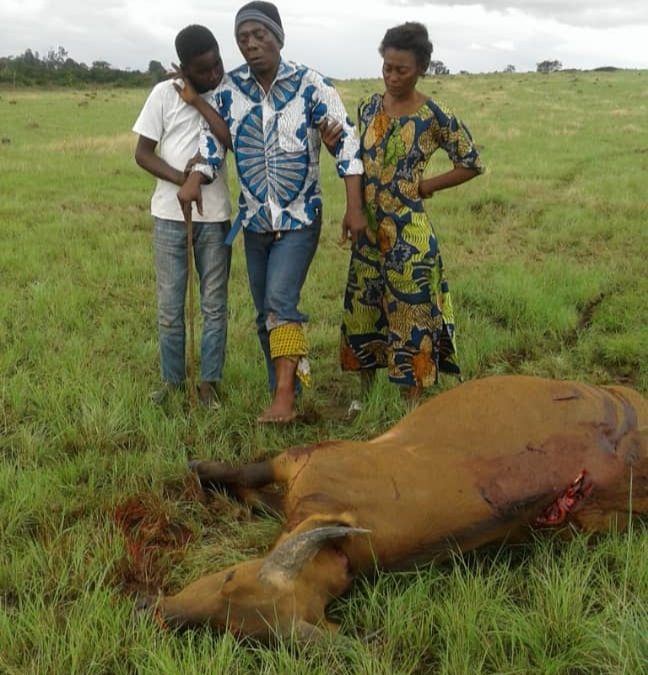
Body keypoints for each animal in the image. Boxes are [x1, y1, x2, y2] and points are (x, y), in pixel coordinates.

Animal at [140, 374, 648, 640]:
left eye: (229, 579)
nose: (157, 611)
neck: (345, 550)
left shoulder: (303, 460)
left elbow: (241, 475)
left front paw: (199, 469)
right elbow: (249, 488)